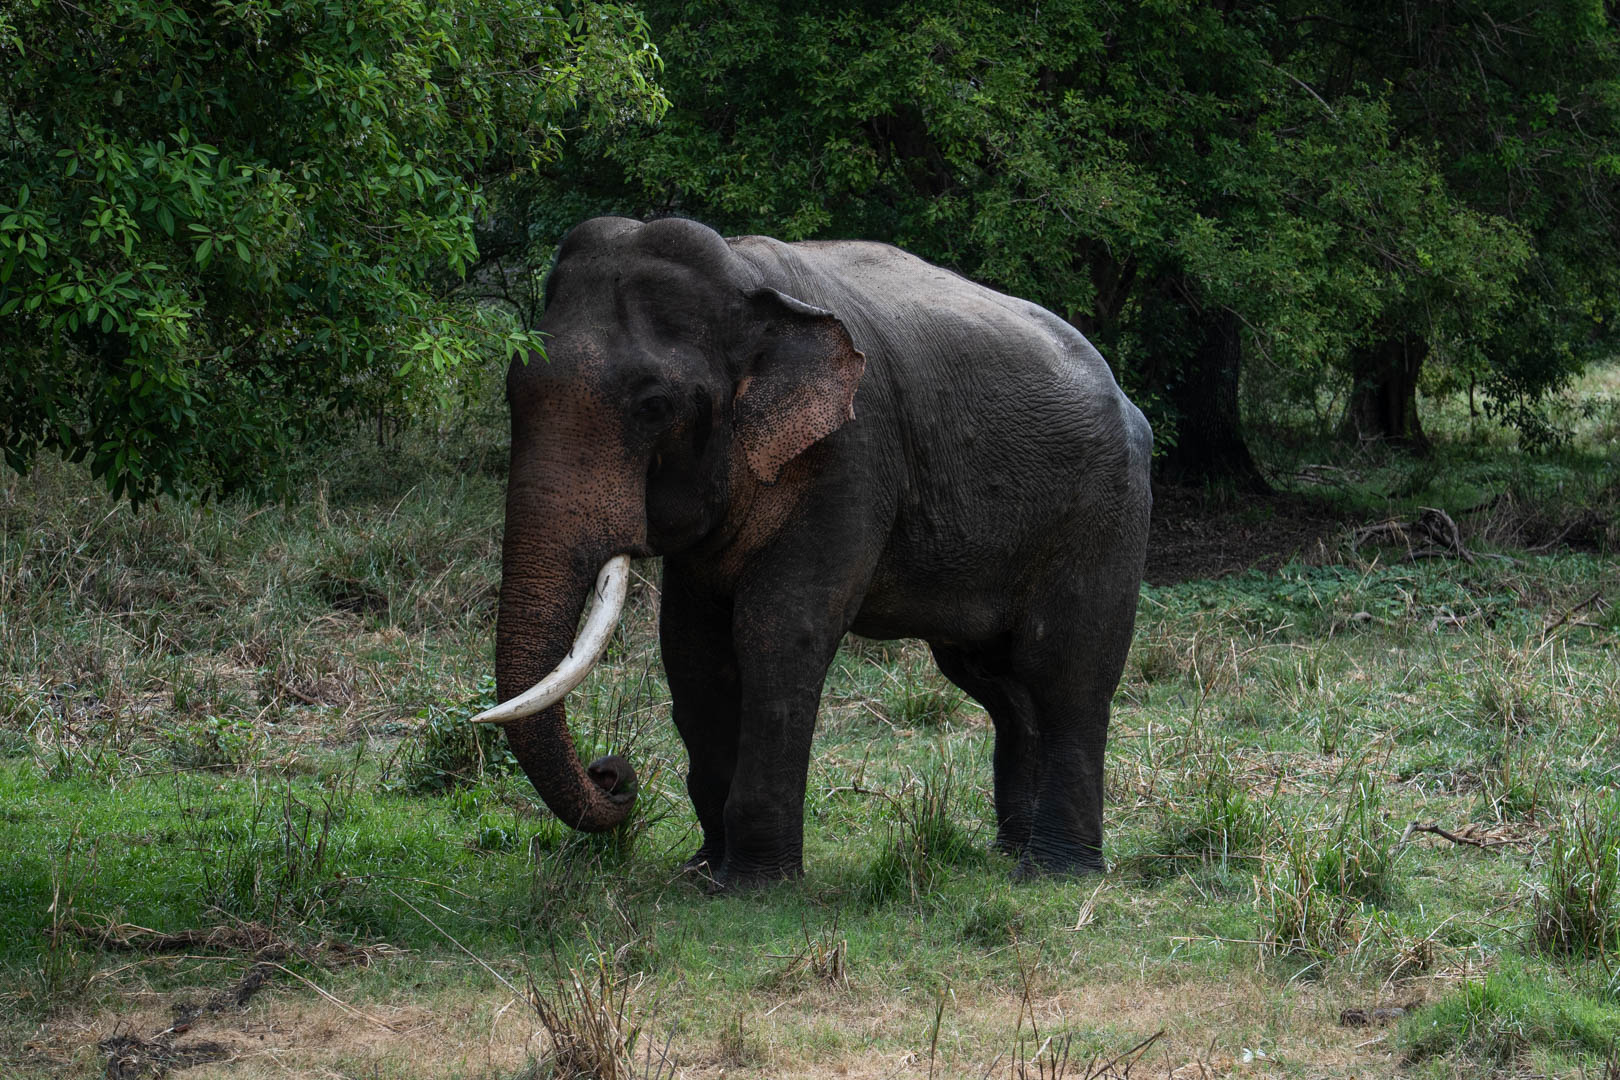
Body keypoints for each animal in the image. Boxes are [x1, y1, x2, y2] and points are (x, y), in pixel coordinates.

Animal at [471, 216, 1152, 888]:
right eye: (509, 390)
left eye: (655, 406)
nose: (612, 774)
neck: (747, 280)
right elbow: (691, 645)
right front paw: (702, 872)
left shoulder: (853, 452)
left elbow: (778, 628)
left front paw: (754, 885)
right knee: (995, 681)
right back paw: (1010, 852)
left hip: (1103, 512)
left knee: (1066, 670)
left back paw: (1054, 872)